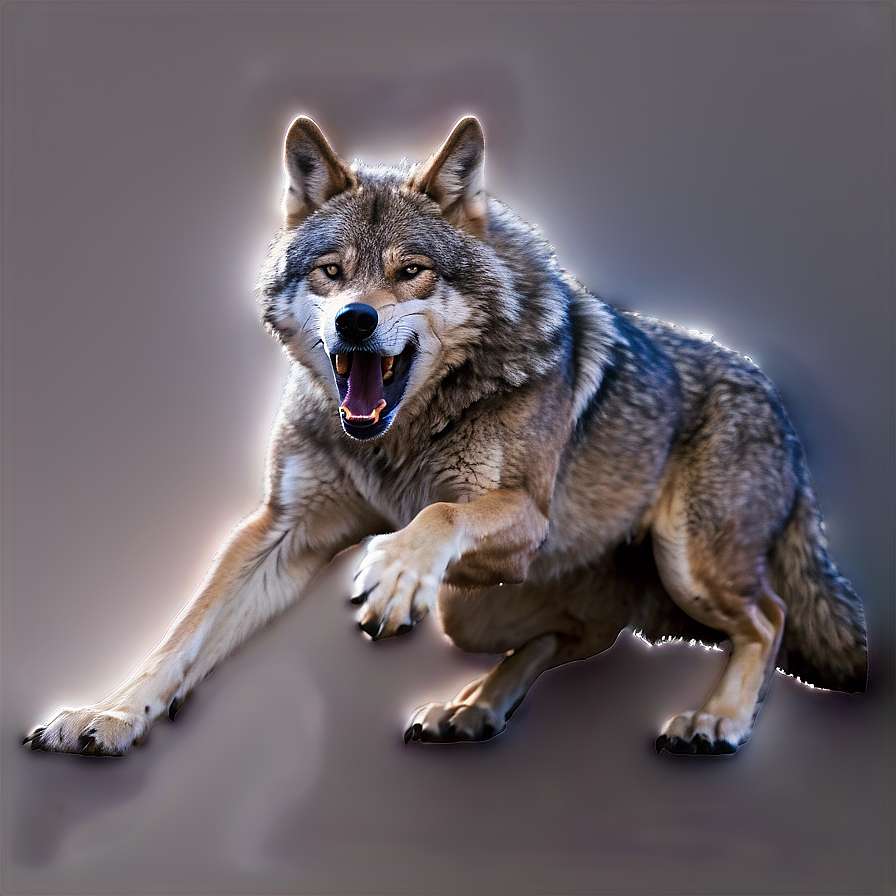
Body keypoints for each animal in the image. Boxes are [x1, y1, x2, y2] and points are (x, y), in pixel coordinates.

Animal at [24, 116, 867, 757]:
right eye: (331, 272)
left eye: (412, 272)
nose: (354, 321)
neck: (399, 435)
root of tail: (780, 409)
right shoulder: (282, 529)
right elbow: (182, 640)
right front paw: (108, 714)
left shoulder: (523, 516)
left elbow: (437, 514)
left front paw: (395, 570)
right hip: (474, 610)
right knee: (581, 631)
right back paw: (473, 708)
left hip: (687, 564)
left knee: (768, 617)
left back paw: (716, 720)